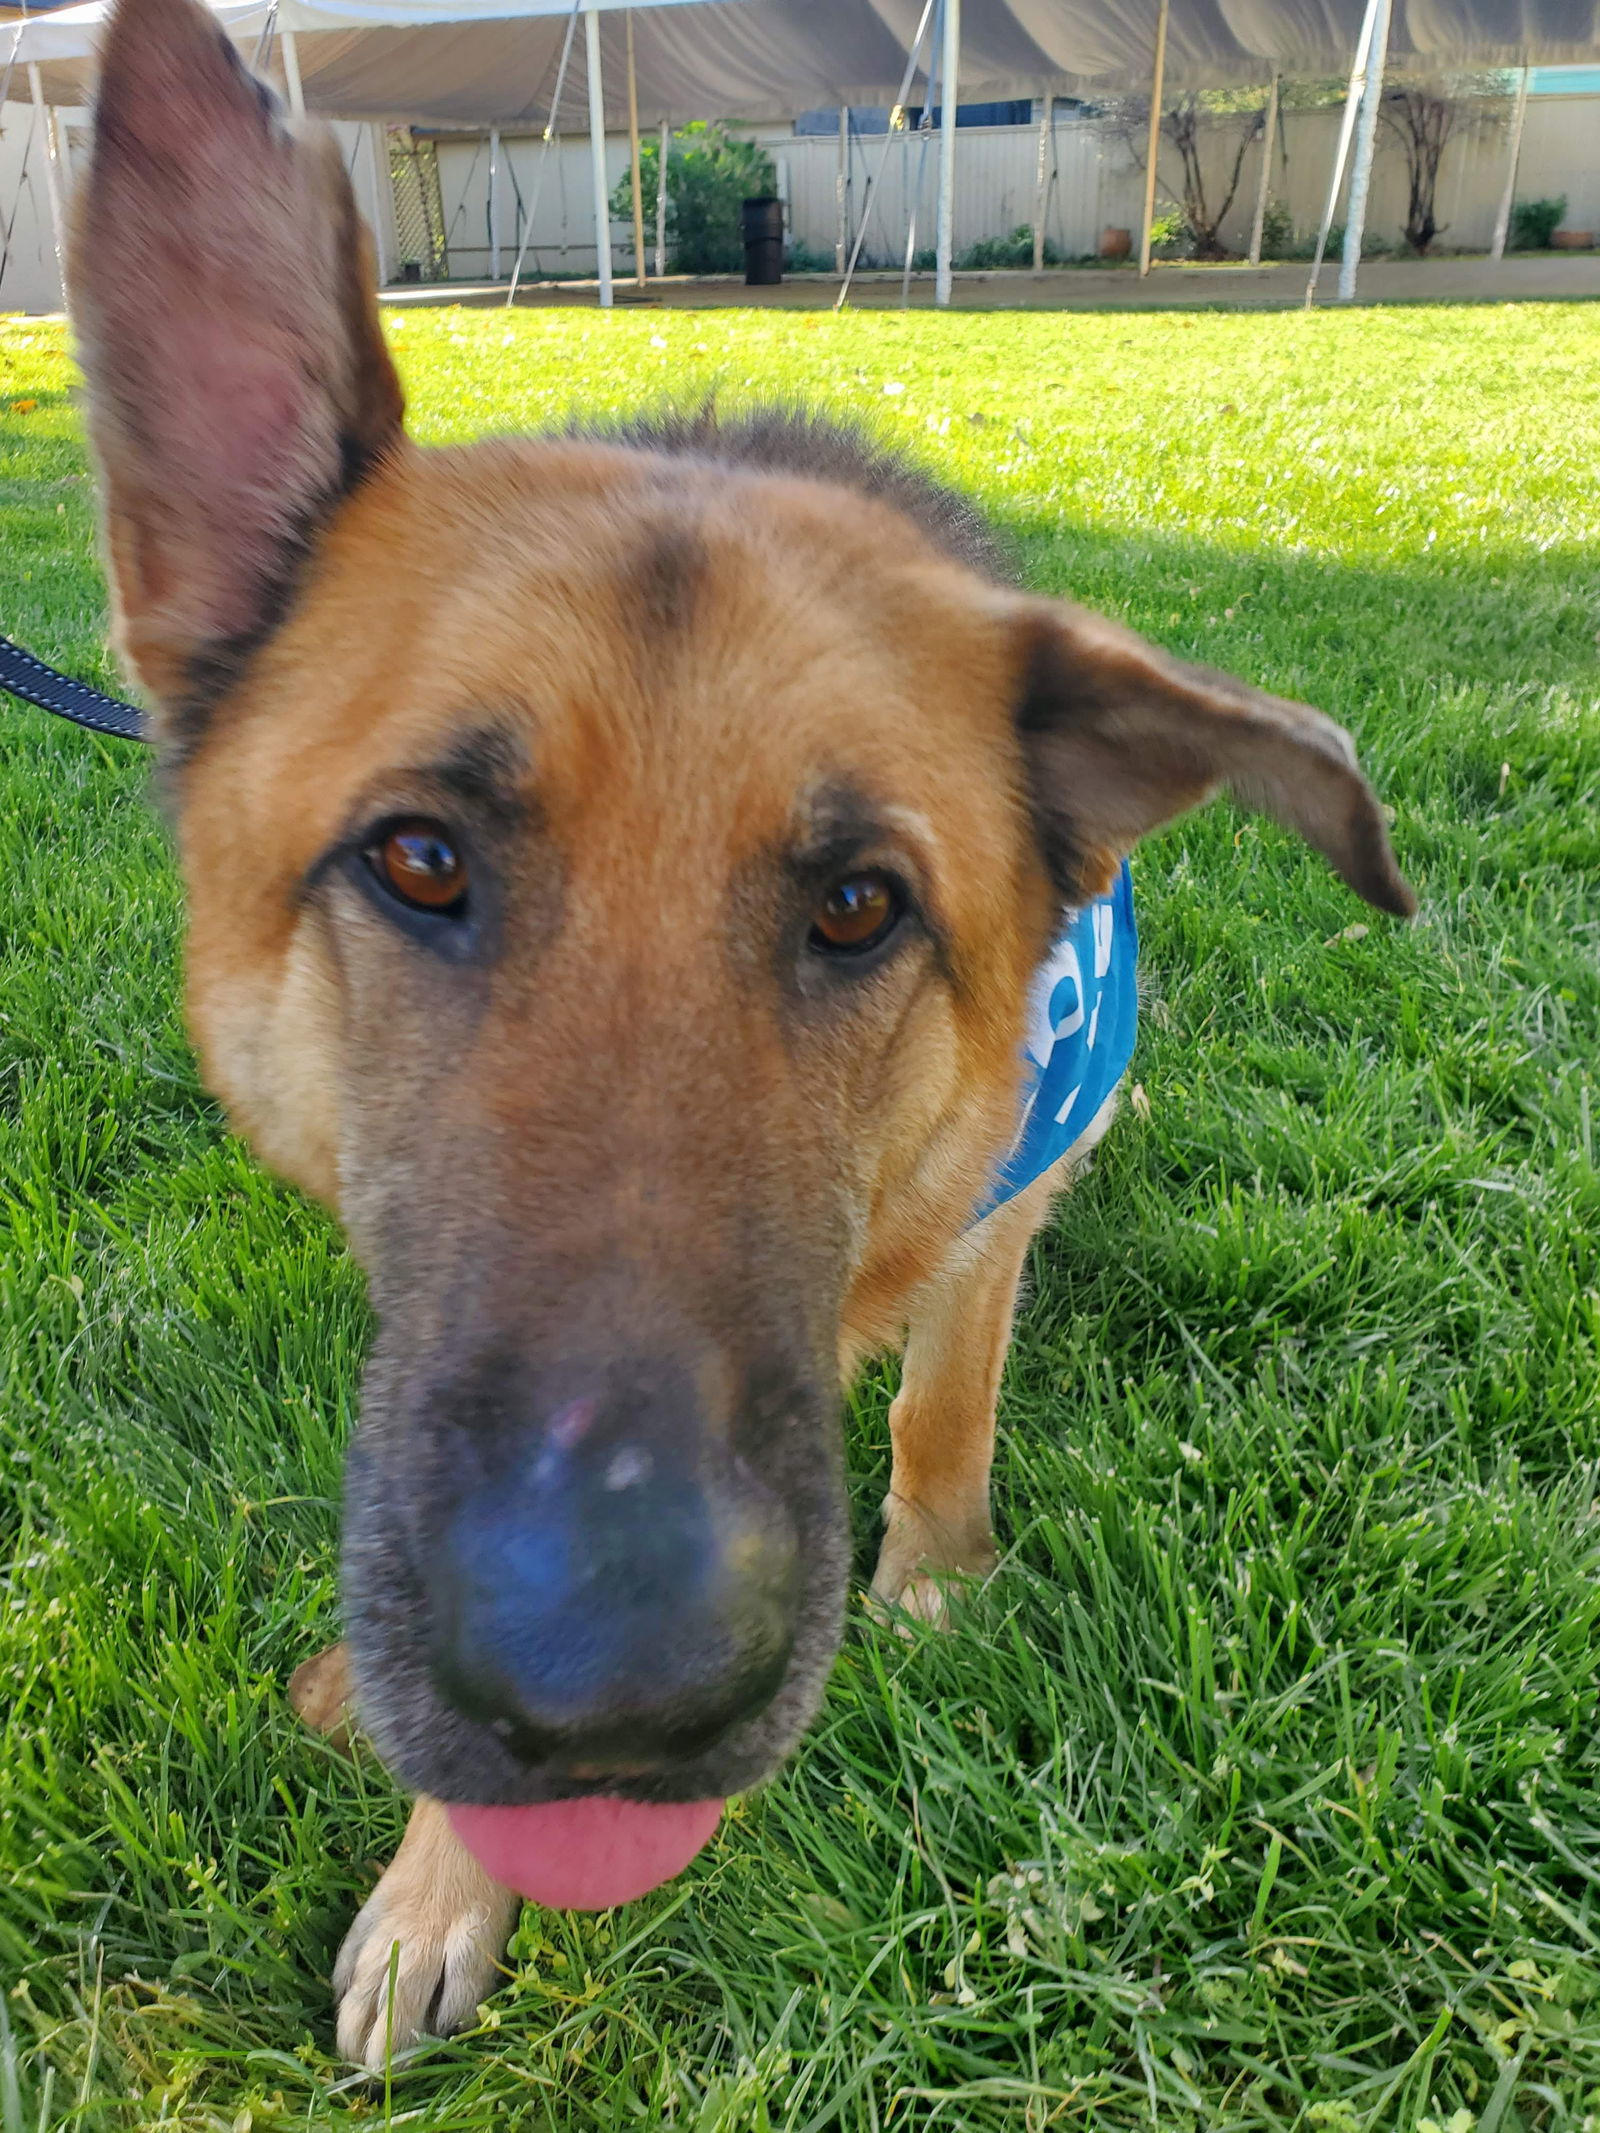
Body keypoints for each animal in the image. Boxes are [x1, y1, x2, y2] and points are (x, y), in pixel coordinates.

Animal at [68, 0, 1416, 2073]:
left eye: (859, 903)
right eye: (420, 857)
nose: (610, 1701)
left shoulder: (990, 1211)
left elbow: (946, 1406)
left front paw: (932, 1581)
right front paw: (436, 1875)